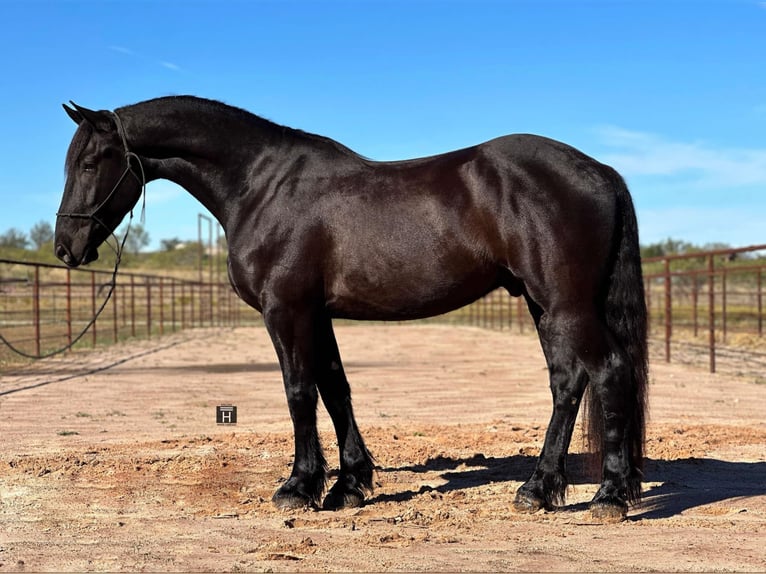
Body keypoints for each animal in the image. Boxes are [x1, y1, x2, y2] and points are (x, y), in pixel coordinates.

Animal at [55, 98, 648, 520]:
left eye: (90, 161)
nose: (65, 247)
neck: (262, 186)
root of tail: (599, 170)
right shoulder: (317, 314)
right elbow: (335, 388)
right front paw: (349, 484)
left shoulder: (286, 309)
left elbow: (299, 391)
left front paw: (299, 487)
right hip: (542, 304)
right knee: (568, 381)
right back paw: (538, 489)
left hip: (566, 306)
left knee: (609, 371)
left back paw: (609, 498)